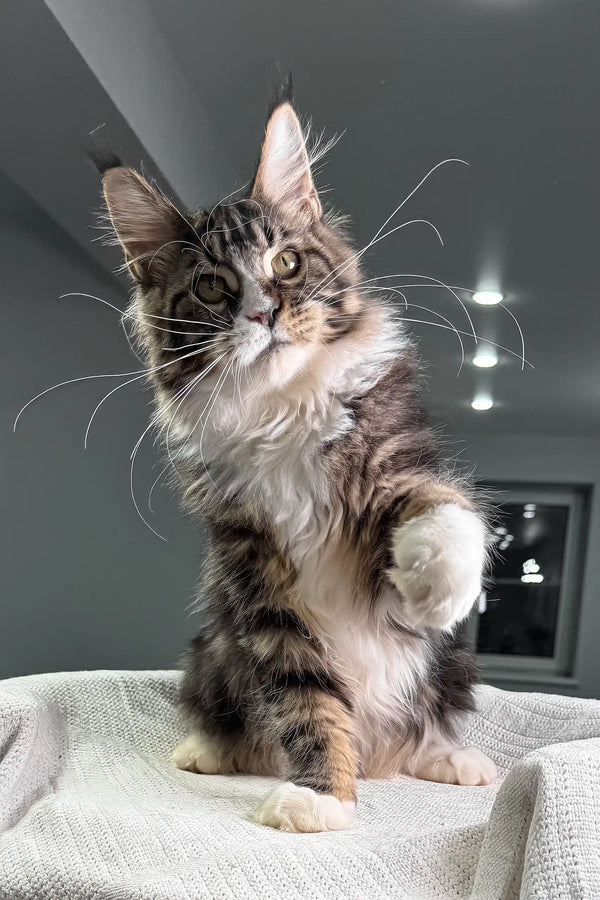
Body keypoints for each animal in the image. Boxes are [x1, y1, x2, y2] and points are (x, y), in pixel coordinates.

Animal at [99, 89, 496, 828]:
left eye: (286, 264)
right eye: (212, 287)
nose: (265, 314)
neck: (283, 413)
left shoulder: (394, 460)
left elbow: (443, 510)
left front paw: (437, 586)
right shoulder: (258, 580)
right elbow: (307, 698)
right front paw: (323, 797)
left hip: (451, 668)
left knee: (427, 724)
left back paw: (453, 759)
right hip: (212, 650)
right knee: (240, 724)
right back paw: (208, 750)